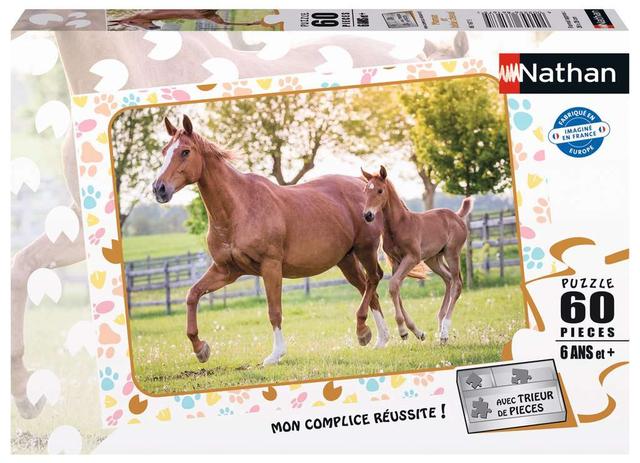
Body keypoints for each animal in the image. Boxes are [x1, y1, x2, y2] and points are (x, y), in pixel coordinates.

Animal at [151, 115, 400, 365]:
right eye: (164, 151)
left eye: (185, 151)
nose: (159, 189)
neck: (239, 208)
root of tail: (364, 187)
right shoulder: (226, 270)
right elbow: (192, 295)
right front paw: (201, 348)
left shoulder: (270, 266)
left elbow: (274, 311)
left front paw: (275, 354)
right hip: (345, 259)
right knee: (367, 287)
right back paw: (378, 338)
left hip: (365, 249)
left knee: (374, 279)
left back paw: (364, 331)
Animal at [361, 166, 473, 344]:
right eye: (365, 190)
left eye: (380, 190)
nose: (368, 215)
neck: (399, 225)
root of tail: (456, 216)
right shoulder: (397, 261)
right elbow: (395, 289)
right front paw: (414, 332)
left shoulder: (412, 258)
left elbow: (393, 285)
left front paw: (403, 331)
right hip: (433, 259)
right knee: (448, 279)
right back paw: (441, 328)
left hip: (452, 253)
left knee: (457, 283)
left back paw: (445, 331)